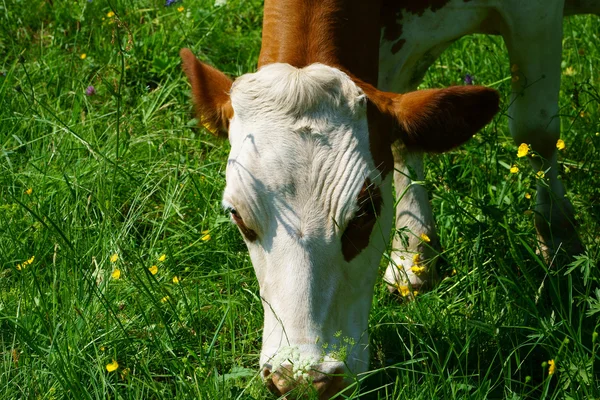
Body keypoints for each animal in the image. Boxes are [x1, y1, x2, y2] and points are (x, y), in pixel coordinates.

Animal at [180, 0, 596, 396]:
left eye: (365, 212)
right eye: (238, 216)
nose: (303, 380)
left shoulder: (535, 13)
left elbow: (536, 129)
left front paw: (560, 243)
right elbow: (402, 138)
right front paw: (413, 253)